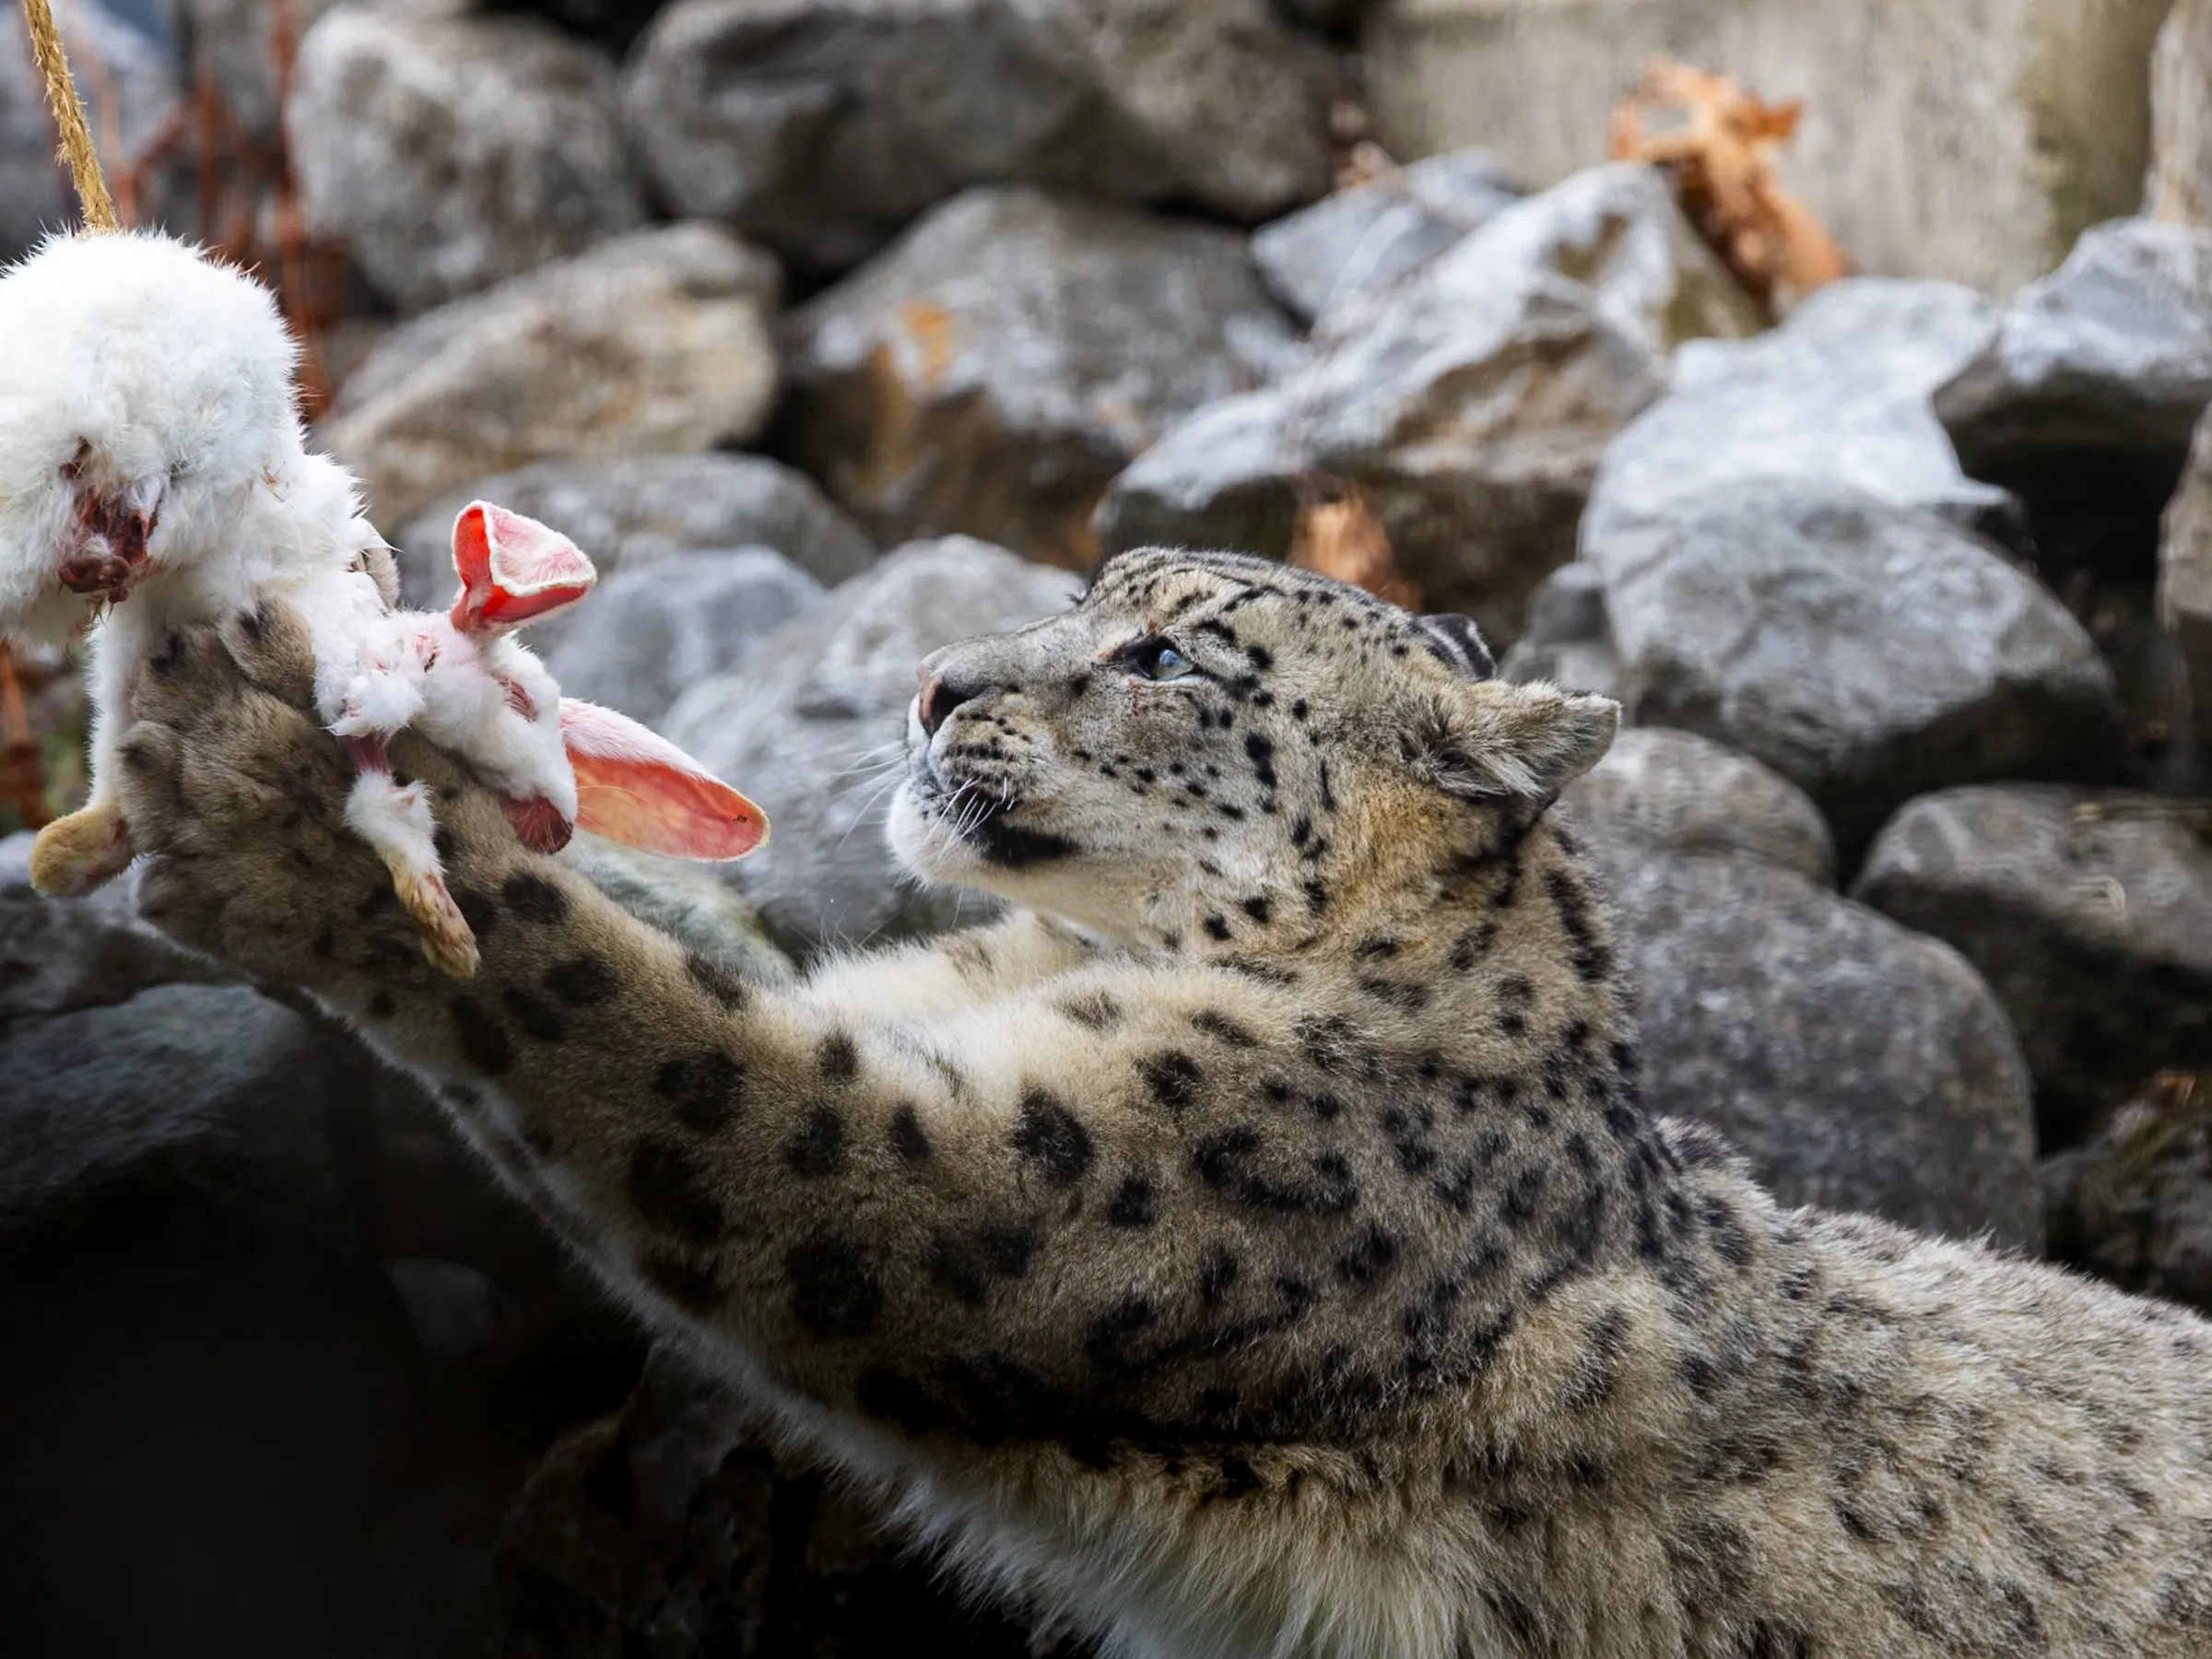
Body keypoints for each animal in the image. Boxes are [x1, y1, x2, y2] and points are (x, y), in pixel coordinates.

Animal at [106, 547, 2212, 1657]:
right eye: (1084, 597)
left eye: (1167, 653)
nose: (931, 680)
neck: (1055, 968)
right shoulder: (912, 1011)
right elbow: (725, 963)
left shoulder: (1007, 1186)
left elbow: (685, 1060)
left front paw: (276, 815)